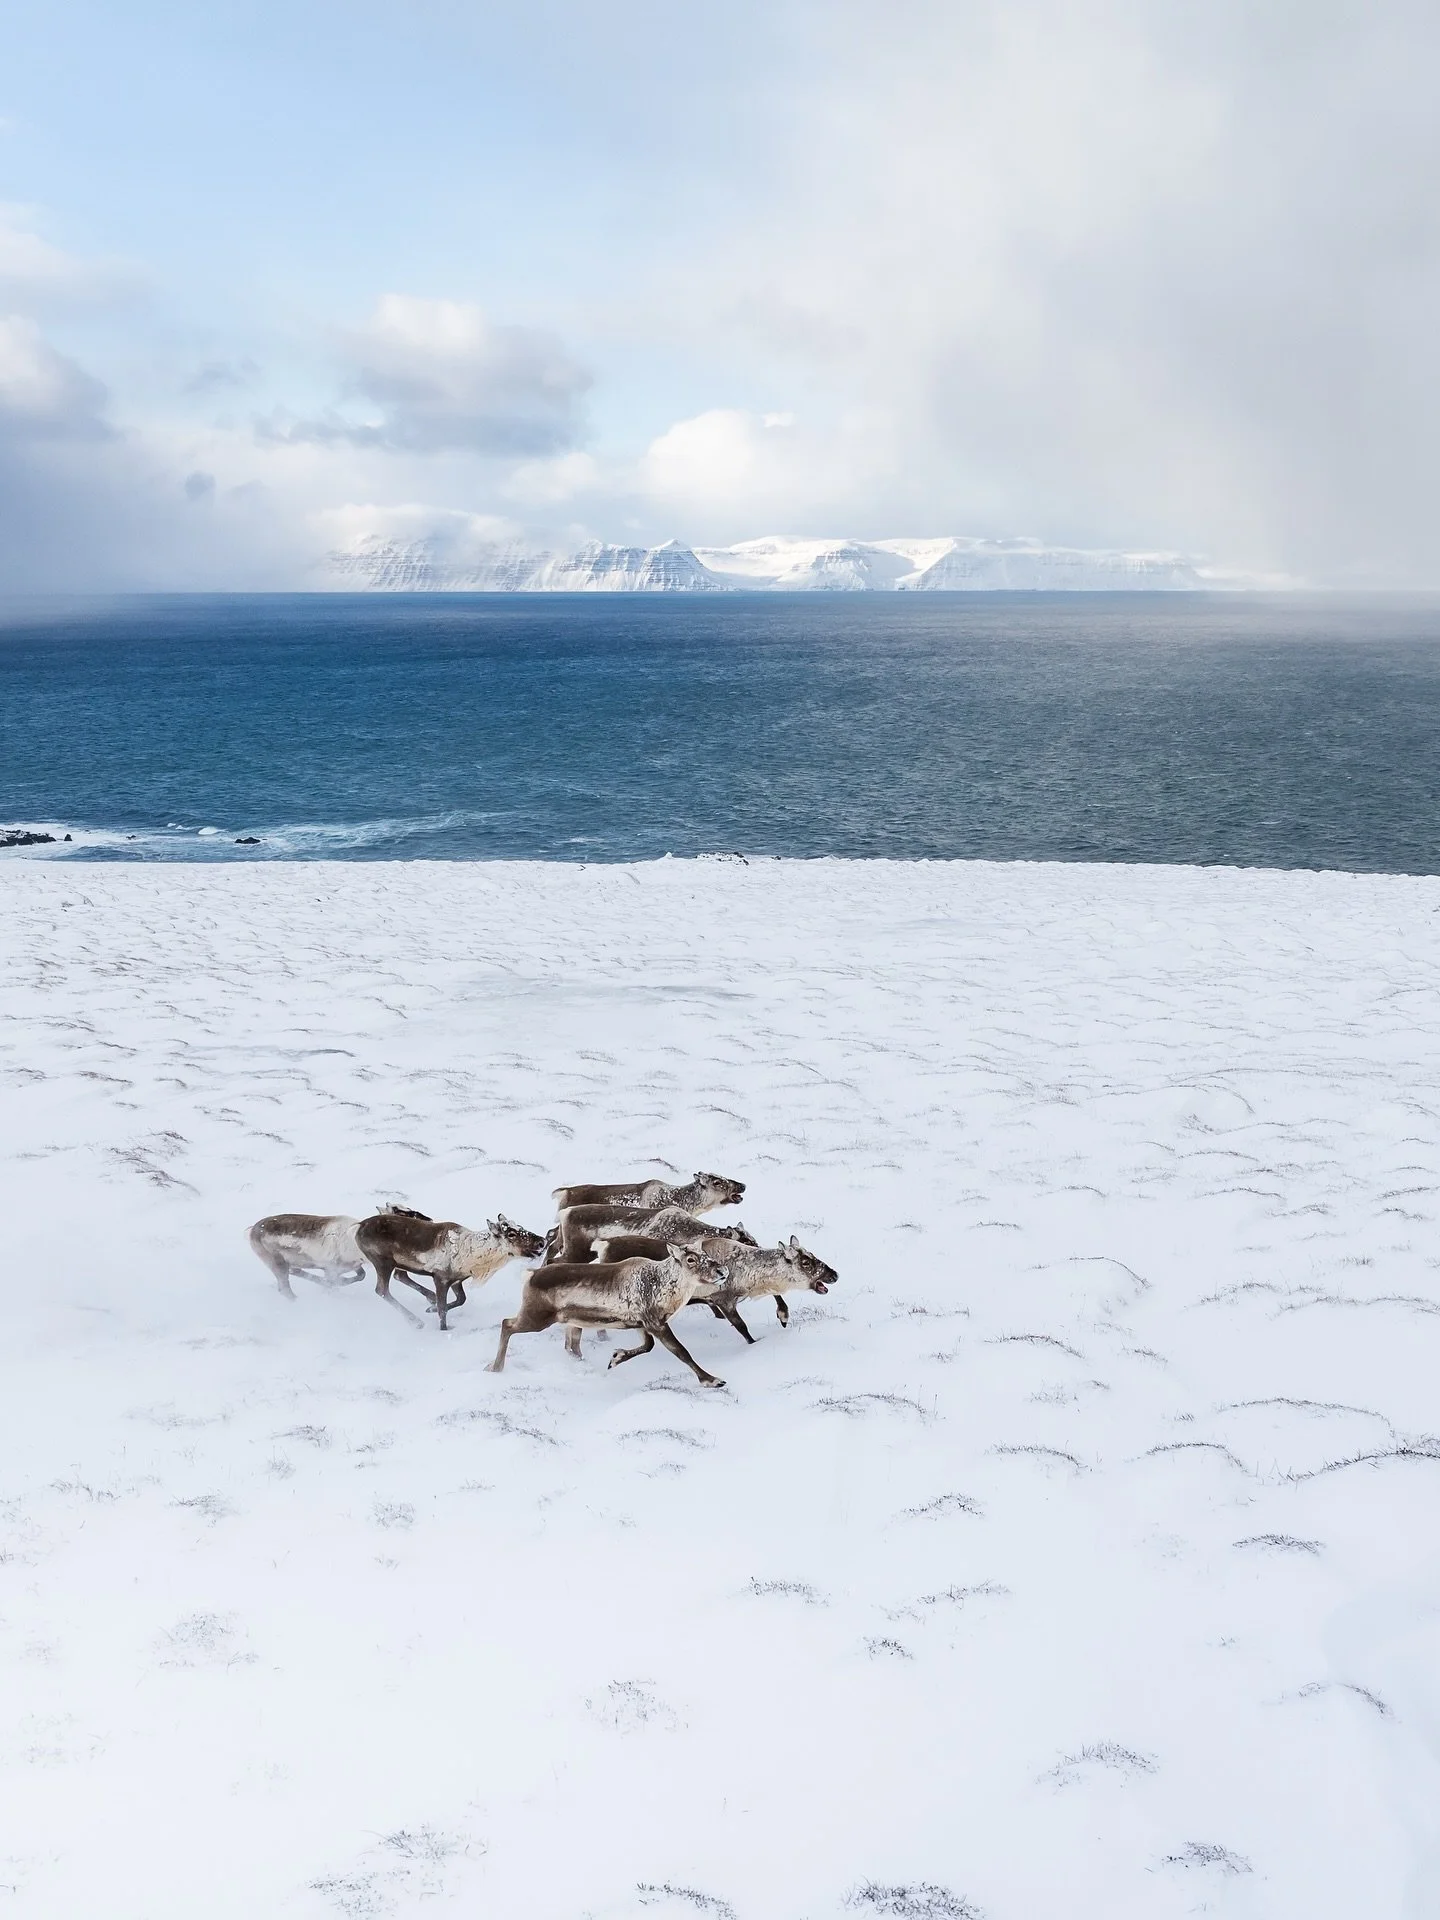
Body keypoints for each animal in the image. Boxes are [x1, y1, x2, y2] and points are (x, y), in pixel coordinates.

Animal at [355, 1212, 545, 1330]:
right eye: (511, 1234)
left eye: (519, 1225)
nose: (542, 1241)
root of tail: (358, 1226)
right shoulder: (441, 1278)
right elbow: (443, 1310)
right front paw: (443, 1328)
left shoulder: (456, 1280)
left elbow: (461, 1300)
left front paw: (431, 1309)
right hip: (382, 1261)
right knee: (381, 1290)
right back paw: (416, 1321)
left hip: (397, 1264)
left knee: (400, 1276)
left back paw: (428, 1300)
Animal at [487, 1244, 731, 1386]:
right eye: (690, 1259)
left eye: (706, 1254)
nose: (722, 1271)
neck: (662, 1284)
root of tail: (530, 1275)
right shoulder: (655, 1322)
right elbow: (682, 1352)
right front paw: (711, 1380)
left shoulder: (641, 1323)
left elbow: (648, 1346)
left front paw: (615, 1357)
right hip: (537, 1316)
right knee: (507, 1324)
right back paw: (495, 1368)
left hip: (567, 1321)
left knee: (571, 1346)